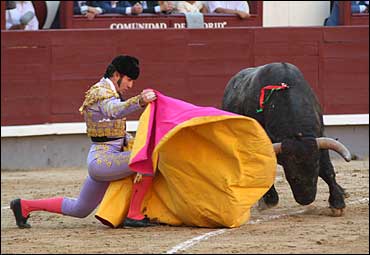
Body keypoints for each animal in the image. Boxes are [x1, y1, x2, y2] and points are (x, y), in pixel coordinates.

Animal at [221, 62, 352, 216]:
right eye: (291, 176)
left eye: (315, 169)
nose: (306, 200)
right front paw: (269, 200)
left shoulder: (319, 138)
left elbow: (327, 169)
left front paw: (338, 202)